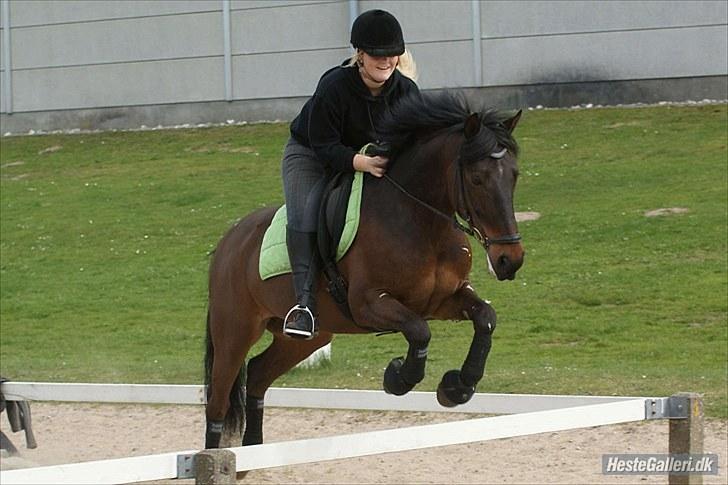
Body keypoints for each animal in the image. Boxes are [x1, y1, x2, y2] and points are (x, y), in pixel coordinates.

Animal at [203, 90, 524, 446]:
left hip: (304, 339)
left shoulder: (443, 300)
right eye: (477, 179)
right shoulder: (368, 303)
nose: (509, 260)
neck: (421, 222)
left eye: (514, 175)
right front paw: (398, 377)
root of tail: (229, 241)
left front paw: (457, 386)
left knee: (258, 375)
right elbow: (419, 331)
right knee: (218, 403)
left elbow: (485, 319)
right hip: (235, 332)